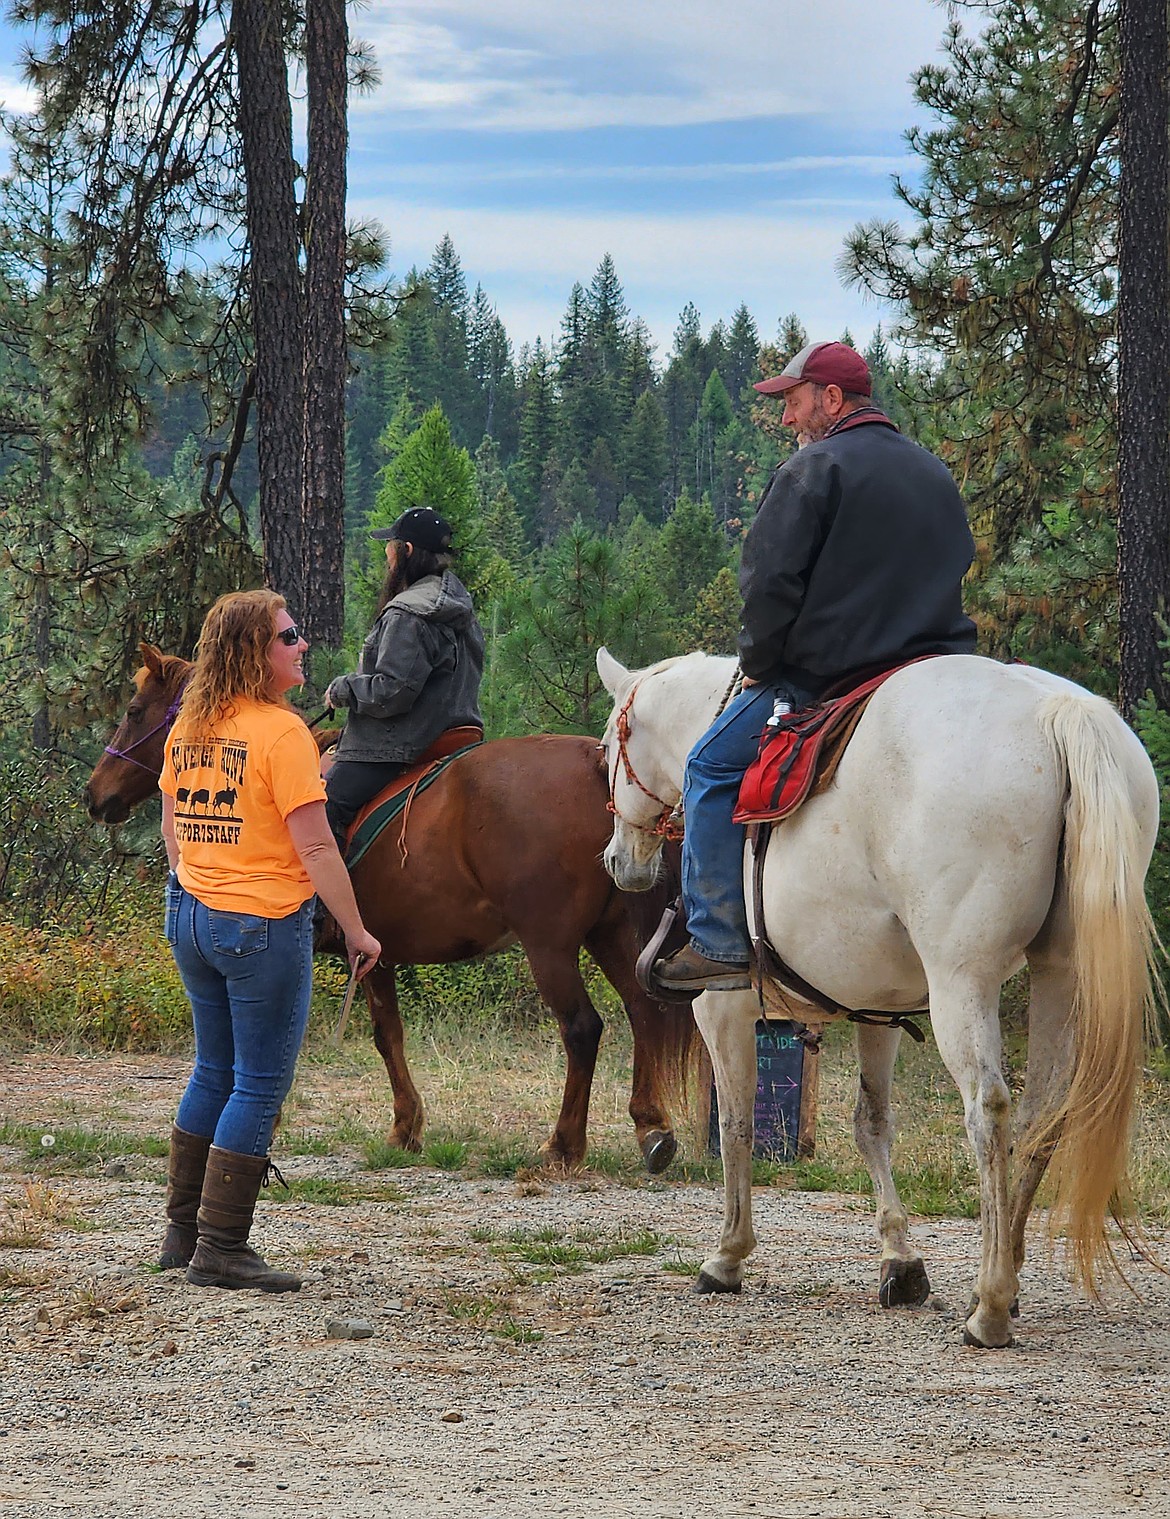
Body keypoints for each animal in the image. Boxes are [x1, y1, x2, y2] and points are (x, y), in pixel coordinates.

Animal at [88, 647, 702, 1166]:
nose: (95, 796)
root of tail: (595, 765)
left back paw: (563, 1144)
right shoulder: (373, 953)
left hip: (549, 946)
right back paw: (651, 1127)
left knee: (582, 1028)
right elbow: (388, 1034)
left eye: (135, 711)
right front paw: (407, 1125)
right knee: (641, 1012)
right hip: (610, 933)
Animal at [595, 647, 1160, 1348]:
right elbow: (871, 1123)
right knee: (1041, 1114)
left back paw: (990, 1305)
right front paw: (901, 1262)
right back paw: (1006, 1267)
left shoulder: (722, 1011)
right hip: (1061, 975)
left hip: (961, 981)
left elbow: (735, 1124)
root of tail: (1059, 711)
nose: (618, 861)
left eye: (606, 751)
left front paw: (727, 1255)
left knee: (989, 1110)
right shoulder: (880, 1010)